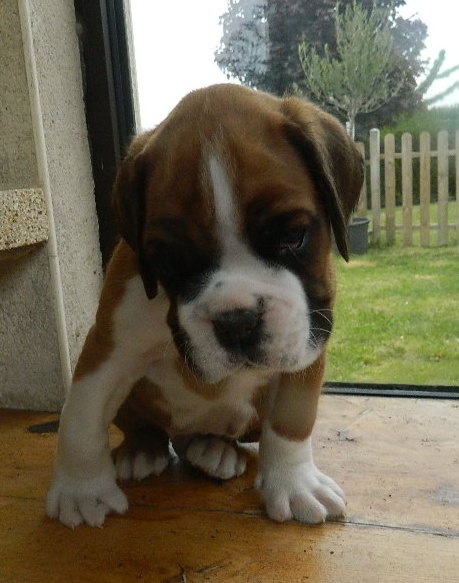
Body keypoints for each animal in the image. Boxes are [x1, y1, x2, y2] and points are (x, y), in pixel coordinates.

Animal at [46, 84, 363, 528]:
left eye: (293, 235)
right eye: (169, 261)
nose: (237, 321)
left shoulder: (307, 339)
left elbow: (292, 420)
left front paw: (294, 484)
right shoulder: (109, 349)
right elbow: (81, 418)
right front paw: (82, 490)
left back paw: (215, 450)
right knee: (141, 425)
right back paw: (143, 450)